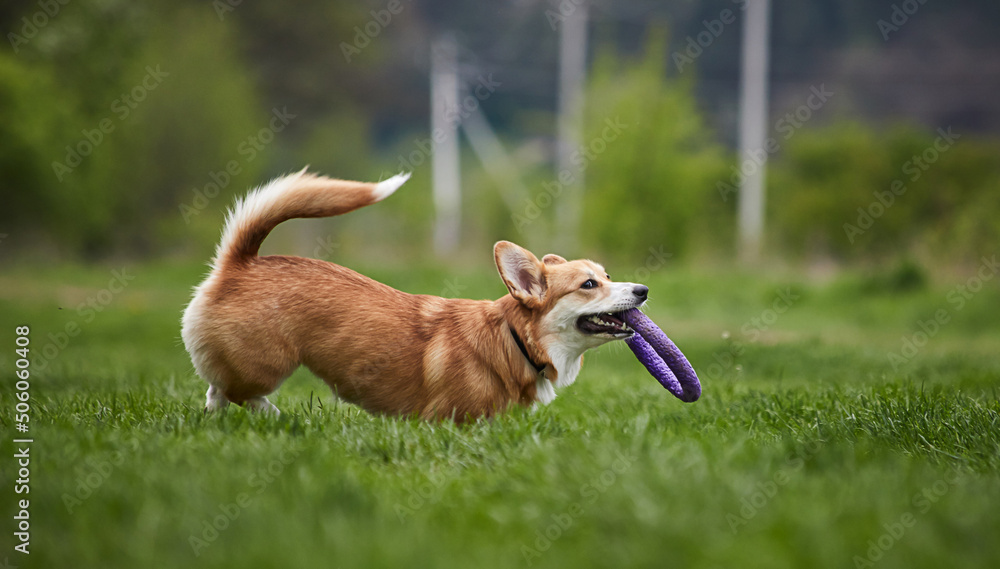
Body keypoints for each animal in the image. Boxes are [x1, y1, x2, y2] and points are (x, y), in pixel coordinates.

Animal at [181, 166, 652, 420]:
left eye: (607, 275)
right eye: (588, 285)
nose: (643, 290)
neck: (514, 340)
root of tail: (240, 262)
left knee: (216, 392)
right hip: (268, 364)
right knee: (235, 390)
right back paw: (278, 418)